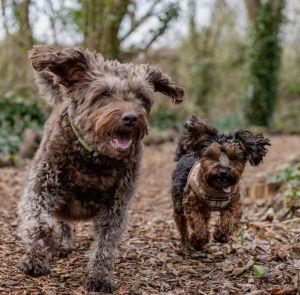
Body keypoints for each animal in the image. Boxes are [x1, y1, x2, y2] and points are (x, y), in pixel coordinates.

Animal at [18, 45, 184, 294]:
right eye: (104, 94)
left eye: (141, 96)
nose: (131, 117)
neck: (93, 159)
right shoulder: (41, 187)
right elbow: (40, 221)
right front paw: (39, 252)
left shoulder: (116, 206)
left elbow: (106, 244)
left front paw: (100, 277)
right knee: (58, 222)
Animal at [170, 115, 270, 256]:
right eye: (212, 156)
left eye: (233, 157)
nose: (223, 171)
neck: (217, 189)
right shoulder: (192, 205)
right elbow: (198, 225)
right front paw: (197, 240)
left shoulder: (234, 204)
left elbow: (229, 220)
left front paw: (221, 235)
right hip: (179, 204)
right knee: (182, 226)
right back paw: (186, 245)